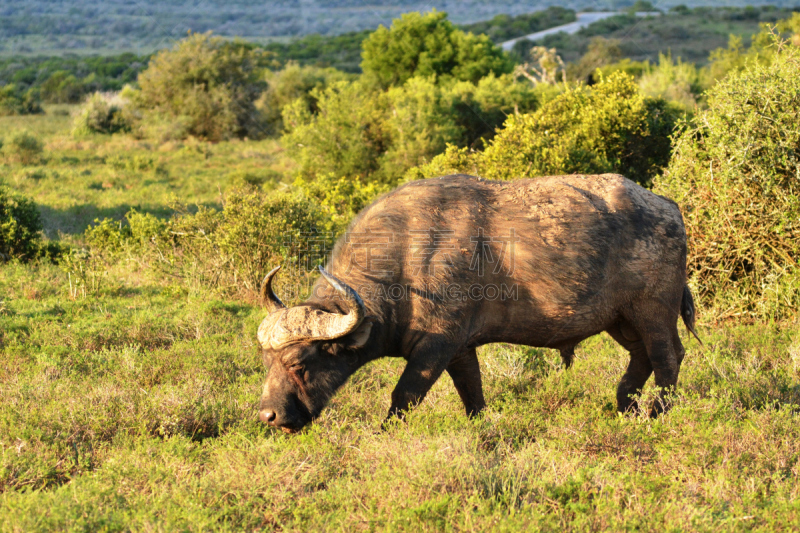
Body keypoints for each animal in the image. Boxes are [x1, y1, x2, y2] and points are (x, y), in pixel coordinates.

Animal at [256, 175, 700, 432]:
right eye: (267, 362)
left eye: (299, 363)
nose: (268, 416)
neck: (406, 258)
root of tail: (669, 208)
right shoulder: (461, 348)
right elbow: (473, 393)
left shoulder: (435, 346)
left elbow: (404, 395)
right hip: (620, 320)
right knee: (641, 357)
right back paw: (624, 406)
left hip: (653, 311)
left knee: (668, 357)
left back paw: (656, 412)